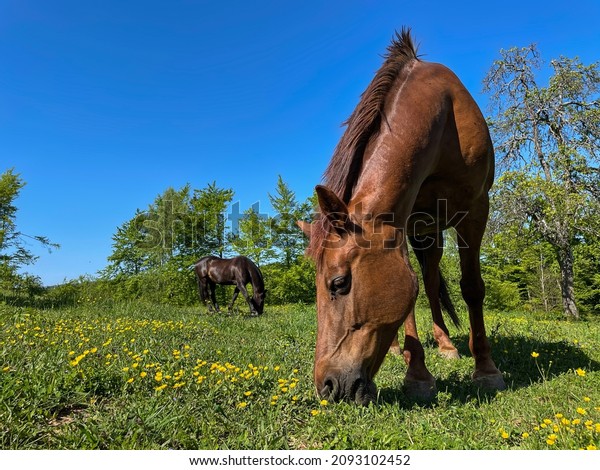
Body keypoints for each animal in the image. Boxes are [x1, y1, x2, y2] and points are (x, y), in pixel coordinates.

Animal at [298, 29, 506, 404]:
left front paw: (486, 369)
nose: (327, 386)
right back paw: (401, 348)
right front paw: (418, 375)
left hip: (434, 233)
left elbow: (471, 288)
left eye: (339, 283)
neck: (444, 119)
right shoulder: (401, 221)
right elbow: (409, 297)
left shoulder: (476, 209)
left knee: (434, 280)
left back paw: (447, 345)